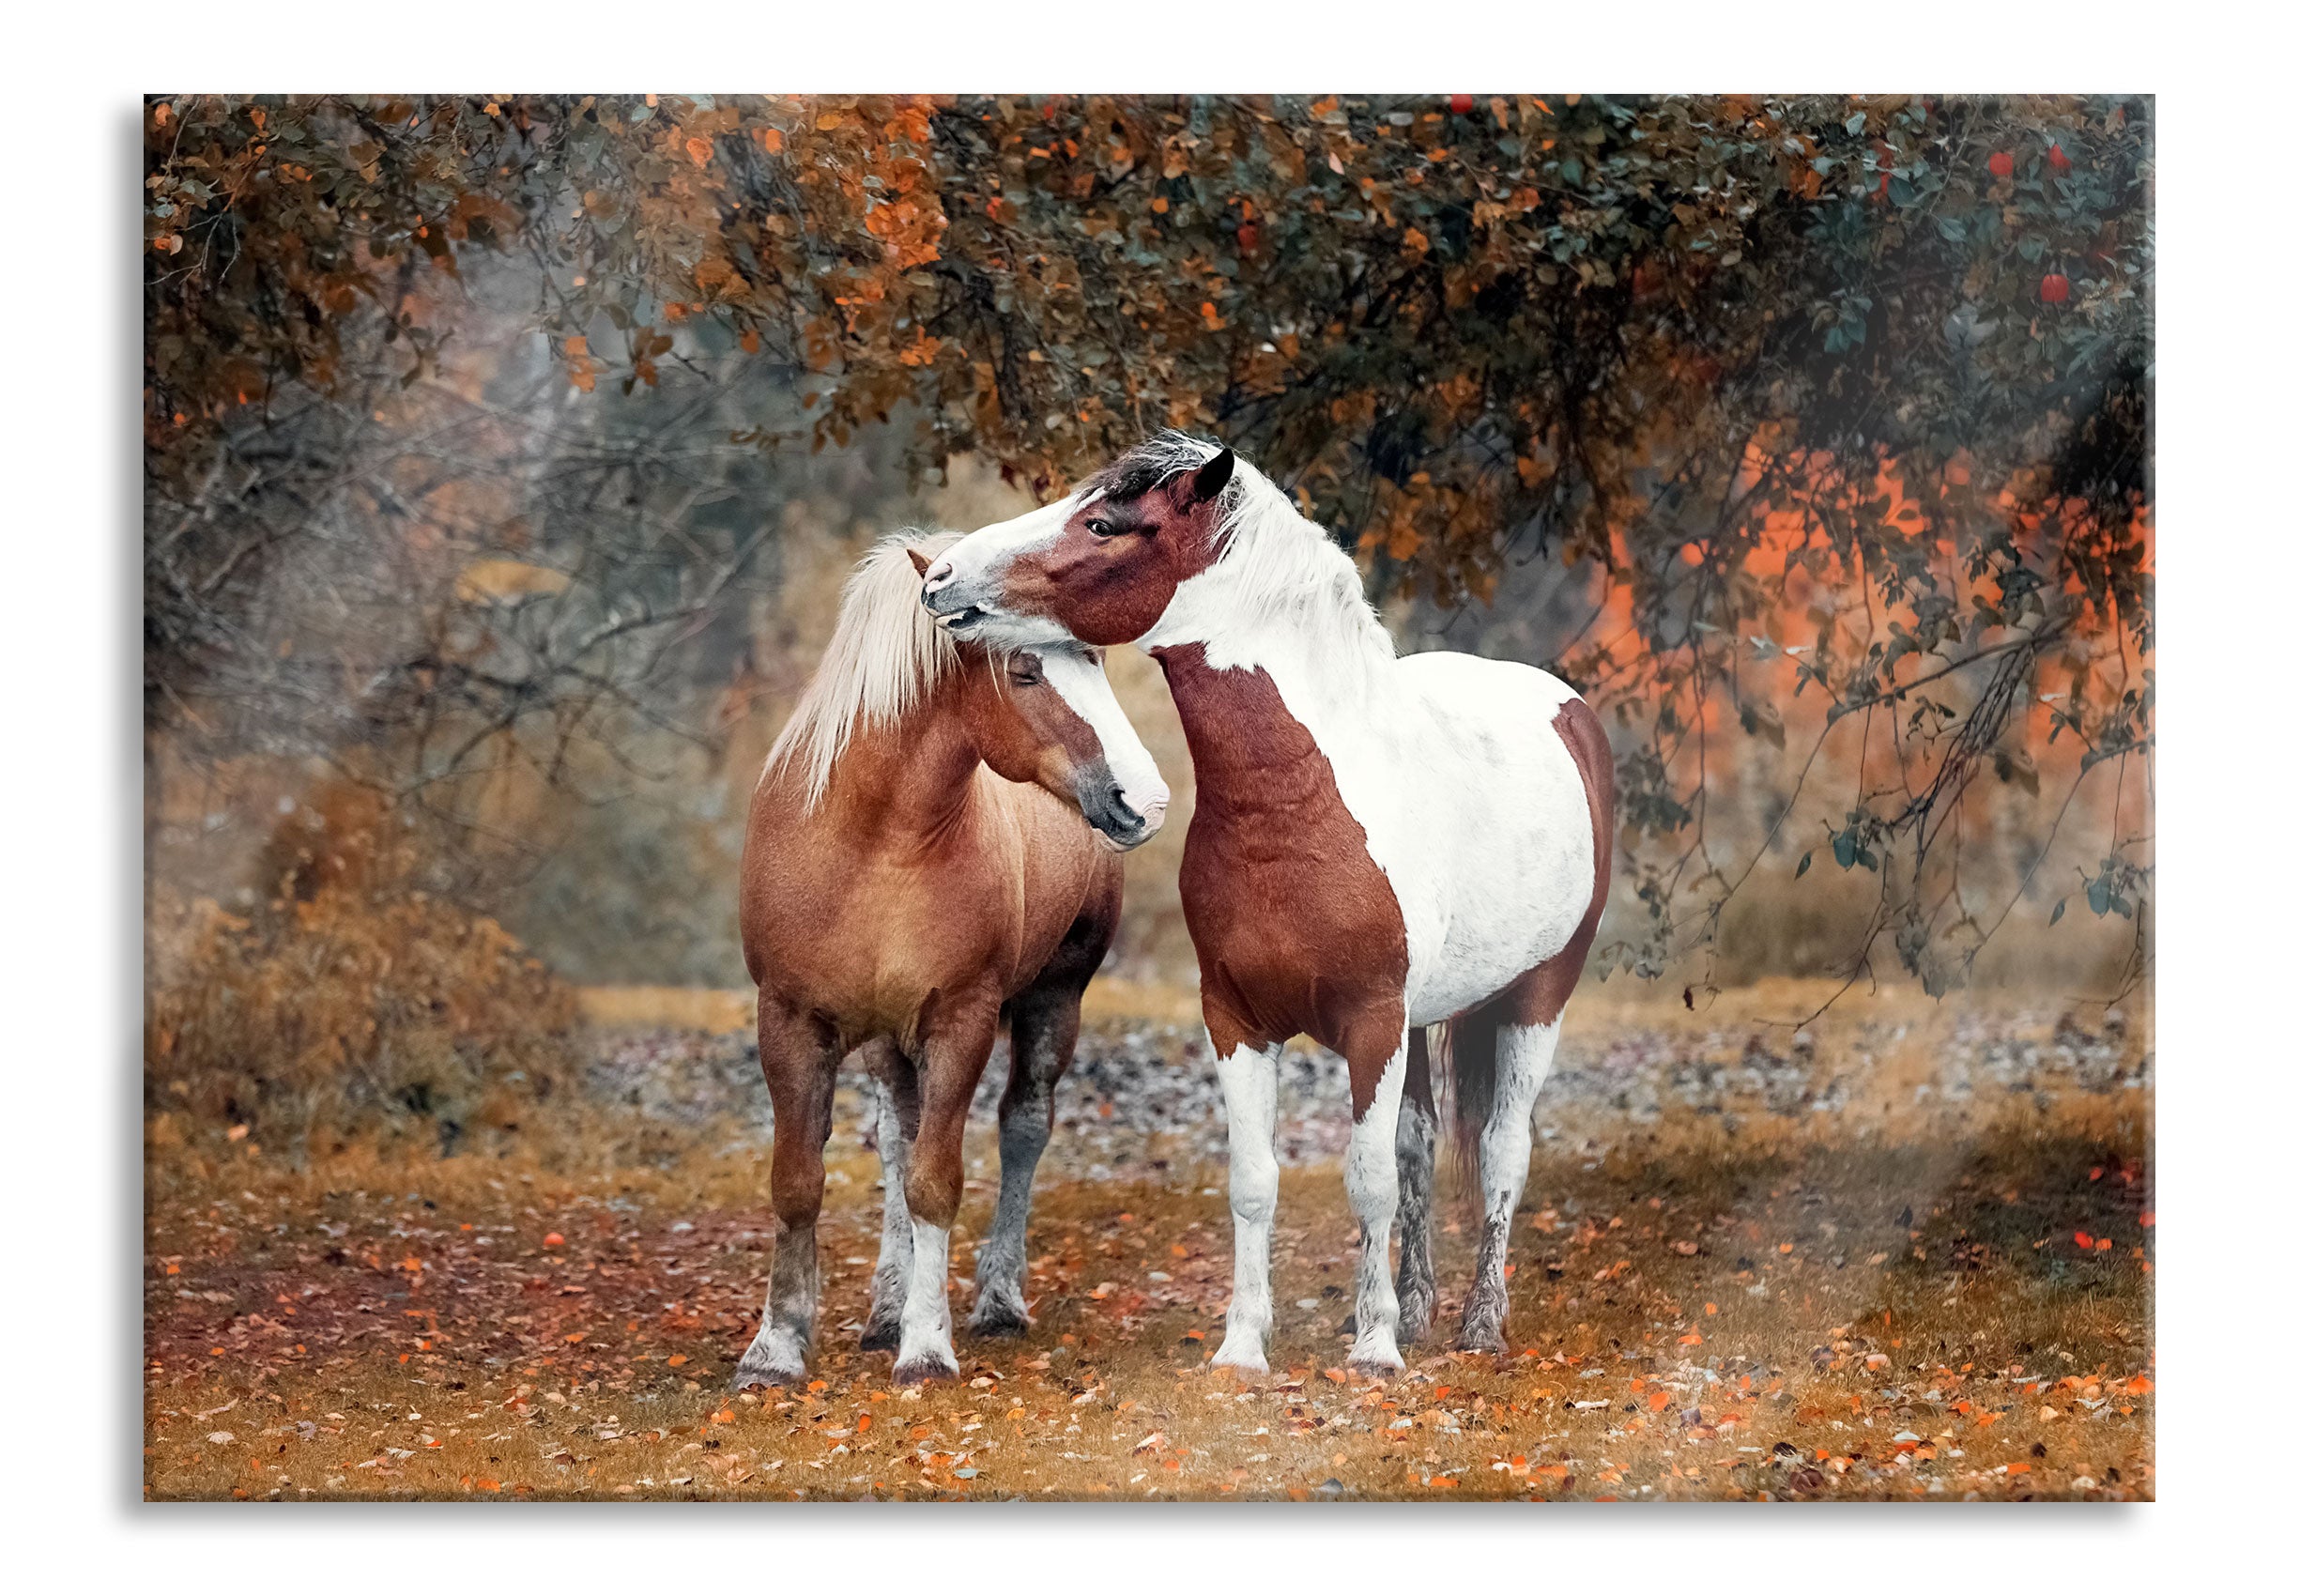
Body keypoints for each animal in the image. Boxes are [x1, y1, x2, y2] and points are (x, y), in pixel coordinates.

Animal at [736, 533, 1168, 1389]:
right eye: (1026, 669)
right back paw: (884, 1309)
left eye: (1095, 659)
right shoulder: (791, 1022)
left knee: (1023, 1126)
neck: (873, 843)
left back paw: (997, 1301)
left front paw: (927, 1346)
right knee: (897, 1137)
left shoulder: (960, 1022)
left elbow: (936, 1184)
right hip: (884, 1039)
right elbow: (800, 1182)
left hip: (1055, 1000)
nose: (1144, 801)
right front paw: (777, 1347)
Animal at [915, 437, 1618, 1379]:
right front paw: (1244, 1348)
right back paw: (1421, 1312)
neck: (1297, 802)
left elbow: (1367, 1178)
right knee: (1425, 1145)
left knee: (1505, 1152)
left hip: (1538, 1000)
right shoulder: (1237, 1022)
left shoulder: (1372, 1022)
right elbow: (1258, 1183)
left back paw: (1480, 1326)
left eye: (1104, 523)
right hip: (1428, 1020)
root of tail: (1565, 709)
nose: (942, 576)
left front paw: (1373, 1351)